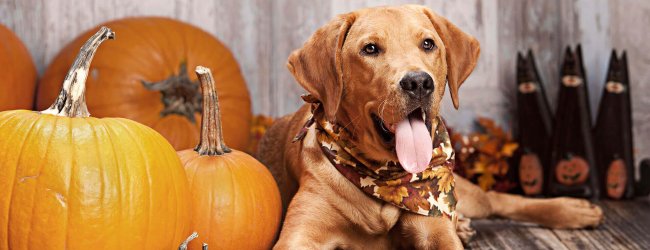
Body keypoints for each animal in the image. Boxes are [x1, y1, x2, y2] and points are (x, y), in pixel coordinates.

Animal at [256, 4, 600, 249]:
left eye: (428, 44)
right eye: (370, 49)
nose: (419, 82)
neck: (383, 176)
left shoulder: (435, 231)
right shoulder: (299, 236)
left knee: (499, 199)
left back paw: (573, 209)